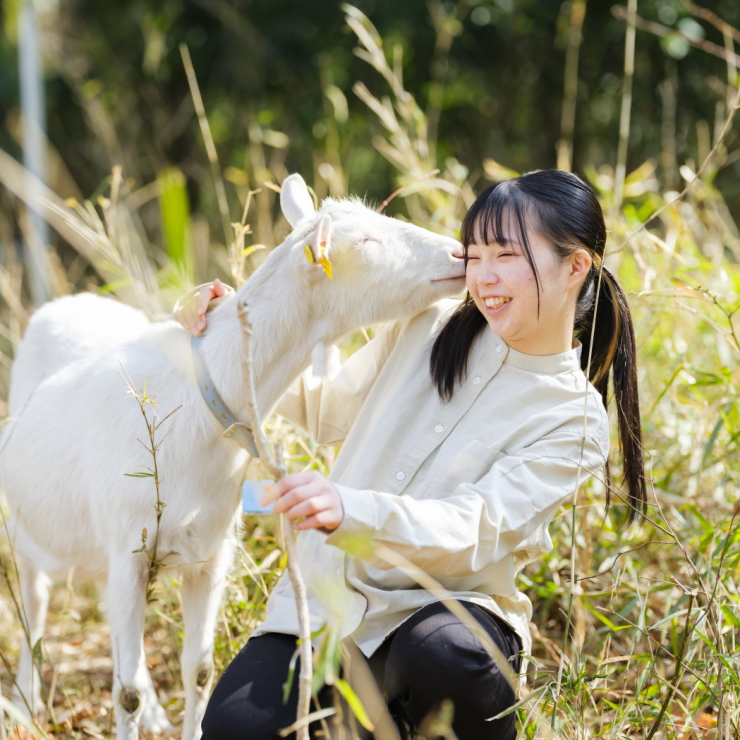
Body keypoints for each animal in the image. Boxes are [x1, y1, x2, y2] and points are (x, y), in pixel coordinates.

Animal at [0, 175, 462, 740]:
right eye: (367, 242)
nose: (459, 251)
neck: (198, 403)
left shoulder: (209, 552)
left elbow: (198, 671)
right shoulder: (128, 549)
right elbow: (126, 692)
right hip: (31, 529)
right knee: (34, 599)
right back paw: (24, 700)